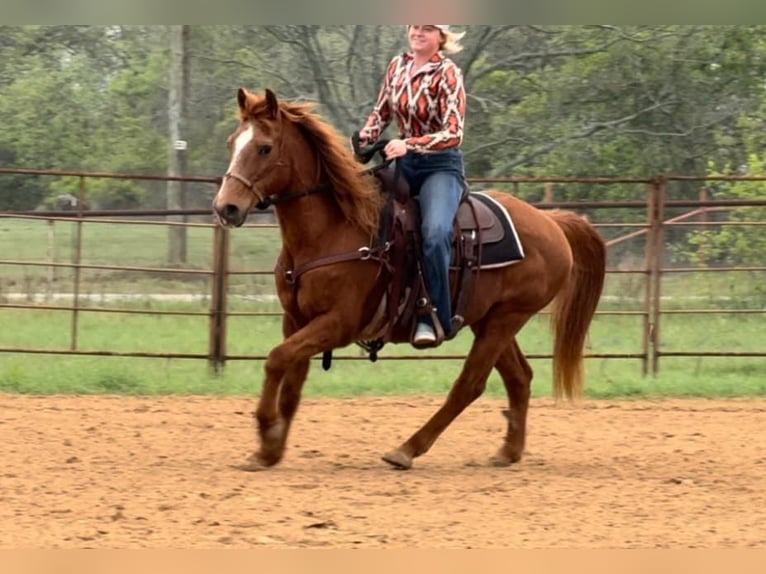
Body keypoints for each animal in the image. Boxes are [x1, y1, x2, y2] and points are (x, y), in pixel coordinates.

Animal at [212, 87, 607, 471]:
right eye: (232, 142)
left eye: (264, 147)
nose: (225, 208)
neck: (333, 228)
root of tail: (551, 221)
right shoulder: (295, 319)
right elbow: (291, 382)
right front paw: (269, 450)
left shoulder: (338, 323)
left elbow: (276, 359)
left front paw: (266, 429)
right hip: (489, 319)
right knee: (519, 377)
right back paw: (508, 451)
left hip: (506, 318)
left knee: (470, 384)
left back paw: (406, 450)